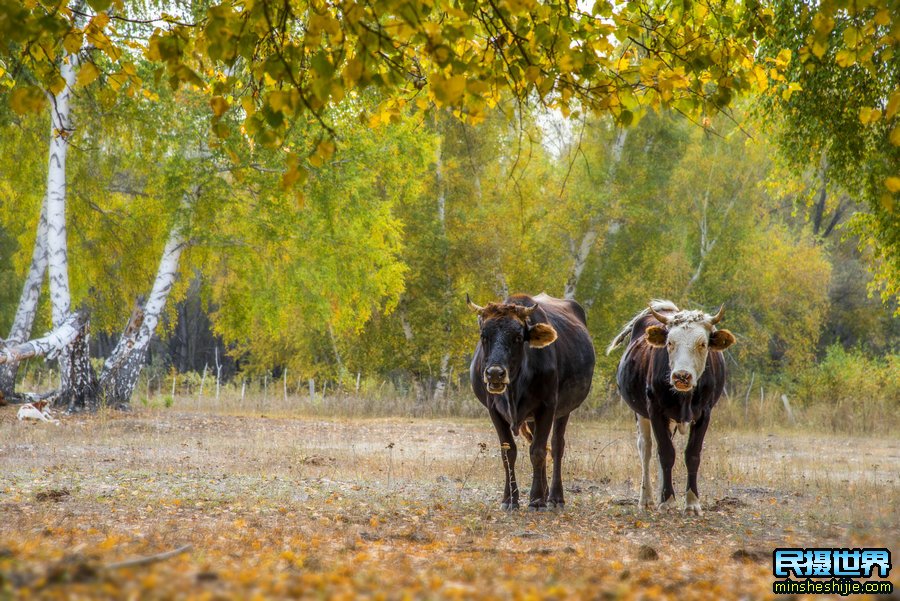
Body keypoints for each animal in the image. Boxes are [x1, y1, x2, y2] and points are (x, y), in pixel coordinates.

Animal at [468, 292, 596, 508]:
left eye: (518, 338)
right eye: (484, 336)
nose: (495, 374)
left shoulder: (548, 406)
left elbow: (538, 452)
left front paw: (536, 500)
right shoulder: (494, 410)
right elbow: (508, 453)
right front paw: (510, 499)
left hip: (563, 410)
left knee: (556, 446)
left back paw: (554, 497)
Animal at [604, 300, 740, 516]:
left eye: (702, 344)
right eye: (670, 343)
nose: (681, 376)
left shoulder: (704, 414)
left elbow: (692, 455)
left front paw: (692, 503)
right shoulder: (655, 411)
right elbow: (666, 454)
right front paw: (667, 501)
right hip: (640, 413)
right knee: (646, 449)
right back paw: (648, 500)